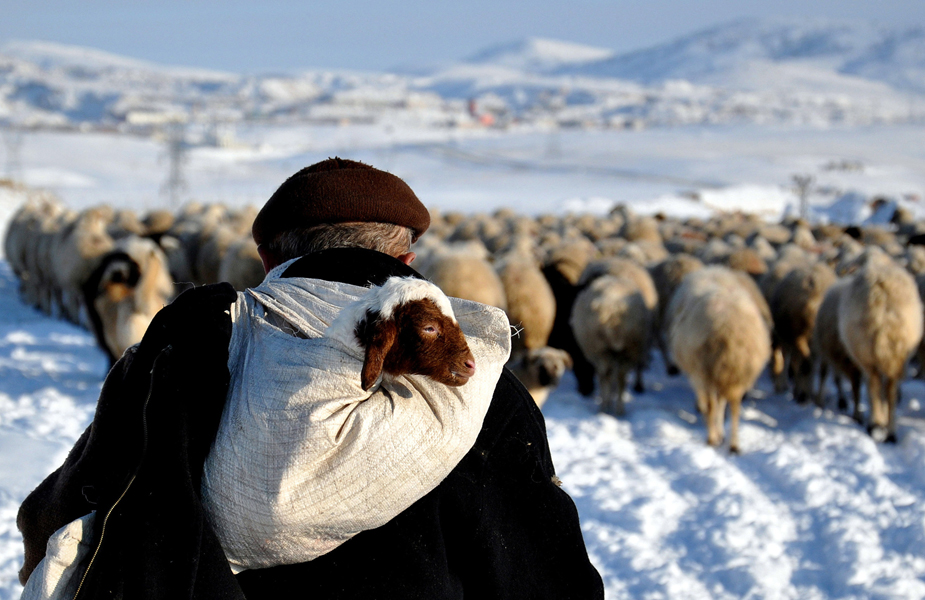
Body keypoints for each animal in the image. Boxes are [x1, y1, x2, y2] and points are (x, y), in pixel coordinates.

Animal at [668, 264, 768, 452]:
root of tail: (727, 327)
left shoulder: (702, 374)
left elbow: (712, 405)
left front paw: (715, 432)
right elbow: (721, 404)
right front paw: (721, 432)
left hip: (706, 370)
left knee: (712, 405)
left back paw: (711, 438)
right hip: (736, 373)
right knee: (734, 407)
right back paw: (734, 444)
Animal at [836, 253, 924, 440]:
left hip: (866, 352)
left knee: (873, 385)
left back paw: (875, 424)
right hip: (899, 353)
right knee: (890, 388)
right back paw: (891, 431)